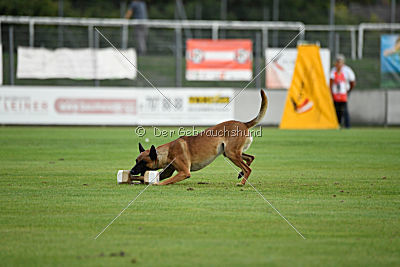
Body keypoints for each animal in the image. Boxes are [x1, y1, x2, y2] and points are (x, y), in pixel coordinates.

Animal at [131, 90, 268, 186]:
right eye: (136, 161)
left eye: (143, 162)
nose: (132, 171)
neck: (168, 151)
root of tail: (243, 124)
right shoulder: (167, 171)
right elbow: (148, 177)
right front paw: (136, 180)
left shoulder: (184, 172)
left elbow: (163, 181)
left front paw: (154, 183)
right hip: (229, 152)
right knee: (250, 158)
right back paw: (241, 174)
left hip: (231, 153)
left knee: (248, 168)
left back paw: (242, 182)